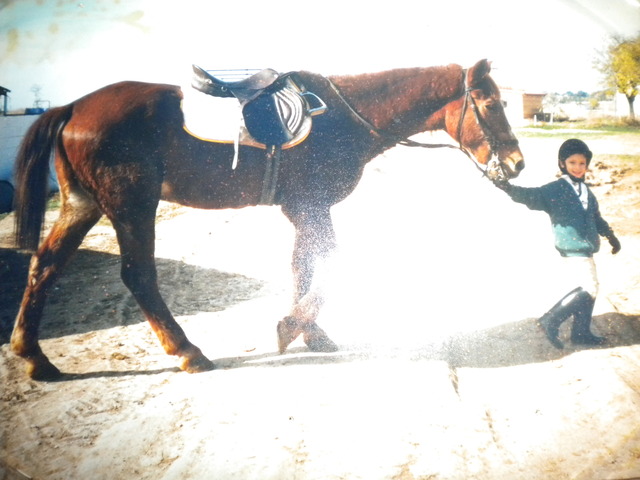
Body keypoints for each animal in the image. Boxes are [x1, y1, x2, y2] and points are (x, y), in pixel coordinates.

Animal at [10, 59, 524, 380]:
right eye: (490, 104)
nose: (517, 163)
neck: (344, 118)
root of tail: (72, 108)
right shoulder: (312, 206)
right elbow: (329, 262)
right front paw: (294, 326)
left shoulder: (303, 210)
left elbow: (303, 265)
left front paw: (308, 332)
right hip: (132, 206)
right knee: (138, 275)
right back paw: (188, 352)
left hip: (83, 205)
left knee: (44, 266)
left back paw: (33, 357)